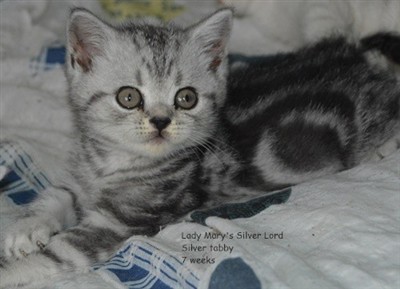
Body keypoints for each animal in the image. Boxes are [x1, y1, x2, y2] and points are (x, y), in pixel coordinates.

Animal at [0, 7, 400, 286]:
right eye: (129, 97)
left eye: (186, 98)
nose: (161, 121)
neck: (113, 162)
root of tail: (360, 58)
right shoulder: (82, 180)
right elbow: (57, 195)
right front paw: (26, 228)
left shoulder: (120, 222)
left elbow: (59, 252)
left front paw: (11, 271)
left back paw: (383, 147)